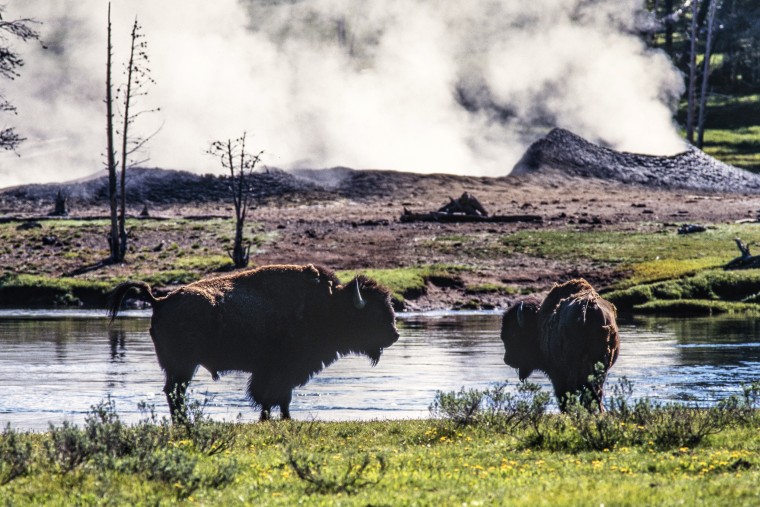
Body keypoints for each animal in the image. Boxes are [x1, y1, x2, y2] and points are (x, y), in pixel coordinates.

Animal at [111, 264, 404, 422]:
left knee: (174, 392)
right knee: (175, 392)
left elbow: (275, 398)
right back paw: (183, 423)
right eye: (373, 312)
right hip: (183, 365)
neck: (328, 305)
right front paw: (281, 418)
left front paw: (276, 418)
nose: (395, 335)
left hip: (179, 367)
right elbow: (274, 396)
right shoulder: (279, 370)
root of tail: (159, 301)